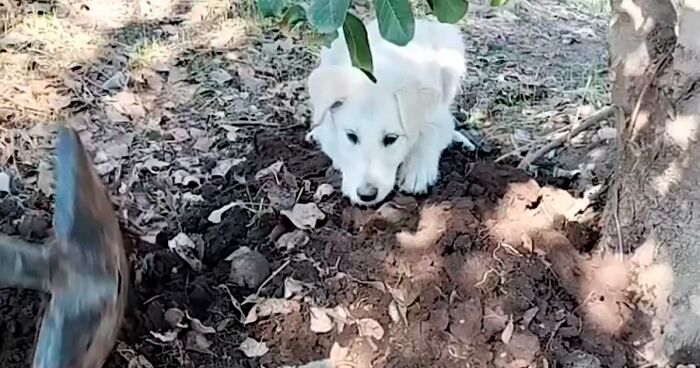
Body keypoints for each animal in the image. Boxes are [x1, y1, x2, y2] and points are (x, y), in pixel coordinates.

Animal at [306, 18, 464, 206]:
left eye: (391, 139)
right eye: (351, 136)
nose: (366, 195)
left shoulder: (439, 116)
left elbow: (430, 134)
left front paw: (417, 172)